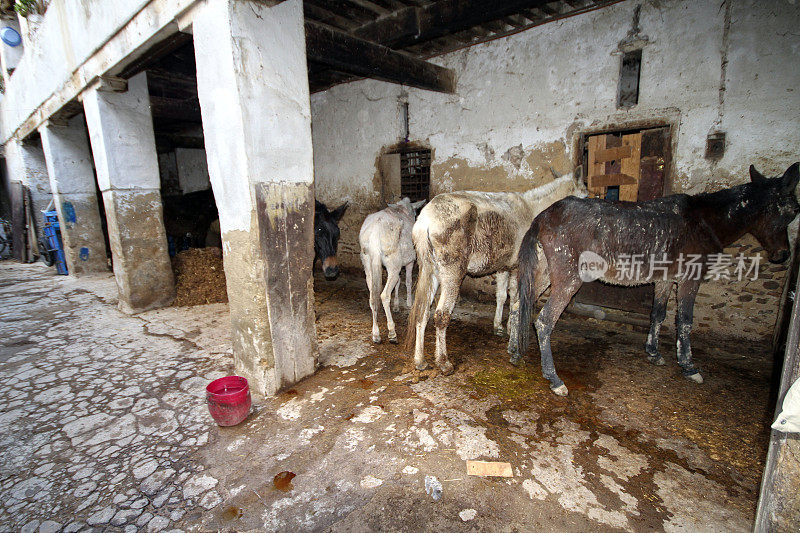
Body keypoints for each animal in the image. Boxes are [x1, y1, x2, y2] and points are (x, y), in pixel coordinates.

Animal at [360, 197, 428, 342]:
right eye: (415, 213)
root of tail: (375, 233)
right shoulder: (410, 261)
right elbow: (407, 281)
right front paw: (409, 303)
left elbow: (397, 283)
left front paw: (396, 306)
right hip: (393, 262)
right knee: (384, 295)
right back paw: (392, 331)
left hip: (368, 263)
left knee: (372, 296)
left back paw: (376, 333)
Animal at [406, 175, 588, 374]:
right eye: (586, 197)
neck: (531, 210)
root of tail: (427, 219)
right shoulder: (518, 268)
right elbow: (515, 298)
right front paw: (511, 330)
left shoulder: (503, 268)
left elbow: (502, 296)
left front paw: (499, 327)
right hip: (451, 276)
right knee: (440, 316)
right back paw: (443, 362)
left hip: (432, 273)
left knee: (422, 312)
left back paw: (419, 360)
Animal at [516, 162, 796, 394]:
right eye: (792, 212)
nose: (783, 255)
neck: (704, 221)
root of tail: (544, 215)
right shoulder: (690, 278)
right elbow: (685, 320)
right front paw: (689, 366)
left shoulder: (664, 279)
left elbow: (658, 314)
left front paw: (653, 353)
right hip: (567, 280)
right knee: (544, 322)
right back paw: (554, 378)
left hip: (544, 273)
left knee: (521, 304)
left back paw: (515, 351)